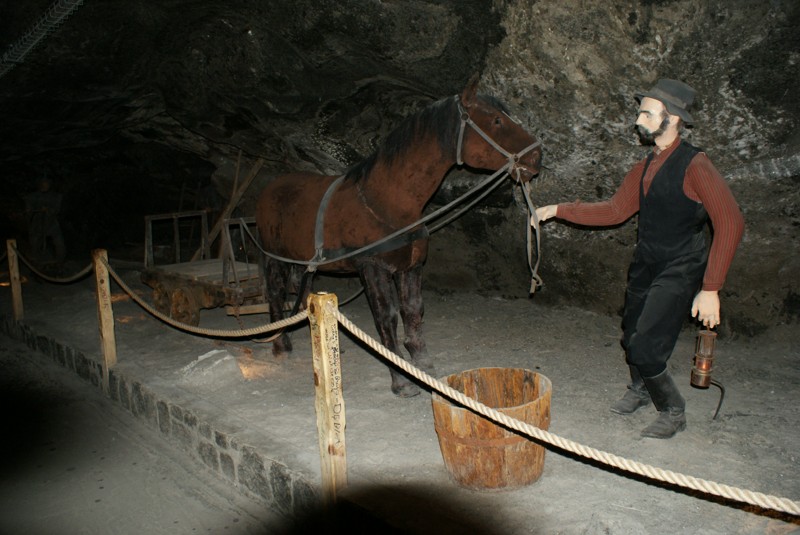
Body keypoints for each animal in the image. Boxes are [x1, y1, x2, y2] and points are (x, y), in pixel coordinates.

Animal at [255, 76, 542, 397]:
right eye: (496, 120)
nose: (537, 155)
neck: (387, 202)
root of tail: (271, 187)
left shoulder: (411, 267)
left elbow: (413, 311)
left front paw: (420, 364)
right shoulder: (373, 269)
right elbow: (387, 317)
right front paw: (400, 377)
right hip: (274, 258)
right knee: (276, 294)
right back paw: (280, 344)